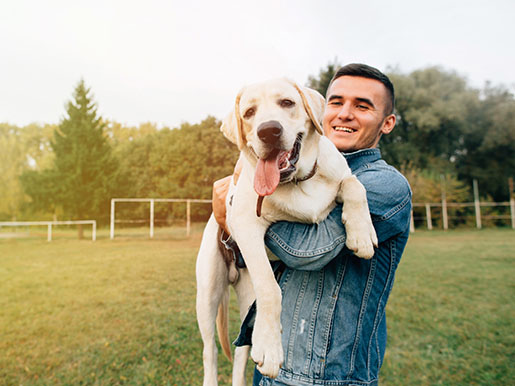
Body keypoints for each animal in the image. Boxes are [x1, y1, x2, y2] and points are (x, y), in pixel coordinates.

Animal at [196, 77, 376, 384]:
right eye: (249, 113)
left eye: (287, 103)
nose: (269, 130)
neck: (297, 182)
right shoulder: (246, 222)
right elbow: (271, 289)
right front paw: (270, 349)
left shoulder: (342, 175)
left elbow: (354, 184)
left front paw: (362, 234)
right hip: (207, 294)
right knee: (210, 351)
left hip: (247, 297)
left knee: (241, 351)